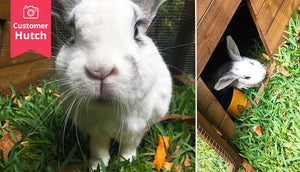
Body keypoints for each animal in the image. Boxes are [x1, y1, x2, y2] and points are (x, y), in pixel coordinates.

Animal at [53, 0, 172, 169]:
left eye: (136, 30)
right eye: (73, 33)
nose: (100, 70)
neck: (107, 109)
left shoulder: (135, 131)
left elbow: (128, 147)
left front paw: (126, 162)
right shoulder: (96, 132)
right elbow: (98, 151)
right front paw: (96, 167)